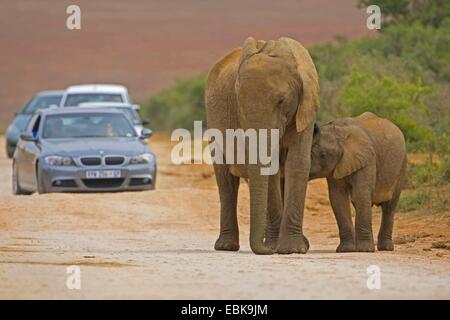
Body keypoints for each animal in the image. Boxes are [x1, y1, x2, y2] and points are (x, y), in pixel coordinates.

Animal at [206, 35, 318, 255]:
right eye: (239, 103)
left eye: (281, 101)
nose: (266, 249)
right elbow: (270, 169)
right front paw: (275, 247)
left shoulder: (305, 109)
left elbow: (298, 164)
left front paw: (294, 249)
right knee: (226, 181)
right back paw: (227, 246)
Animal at [312, 112, 406, 252]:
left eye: (323, 155)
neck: (340, 132)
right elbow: (338, 198)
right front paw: (346, 250)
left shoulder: (367, 159)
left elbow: (360, 194)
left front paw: (365, 250)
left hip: (401, 166)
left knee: (389, 206)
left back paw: (385, 248)